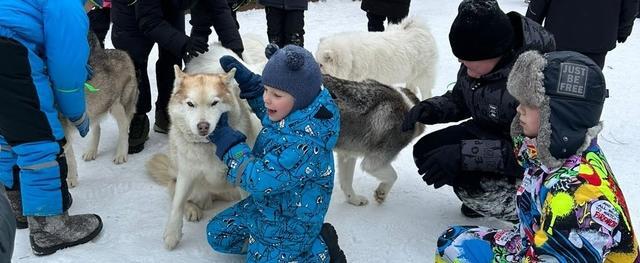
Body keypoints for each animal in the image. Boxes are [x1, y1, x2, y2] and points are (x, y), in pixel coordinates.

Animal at [63, 31, 138, 188]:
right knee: (96, 128)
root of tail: (123, 52)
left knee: (124, 128)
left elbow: (68, 159)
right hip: (95, 108)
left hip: (118, 106)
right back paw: (91, 151)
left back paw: (121, 154)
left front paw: (71, 179)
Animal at [324, 75, 424, 207]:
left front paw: (354, 200)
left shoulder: (347, 154)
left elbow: (347, 183)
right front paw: (381, 193)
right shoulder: (373, 162)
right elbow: (393, 176)